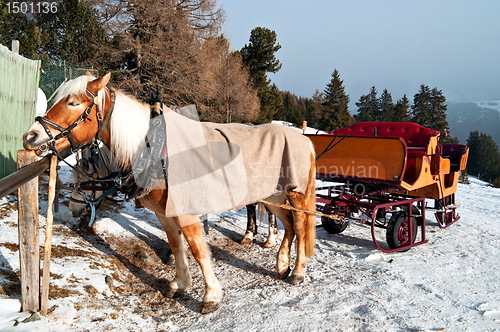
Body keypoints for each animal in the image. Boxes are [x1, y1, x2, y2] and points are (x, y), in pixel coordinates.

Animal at [23, 73, 316, 314]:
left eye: (73, 103)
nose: (30, 136)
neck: (154, 150)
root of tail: (304, 139)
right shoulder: (164, 214)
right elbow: (176, 245)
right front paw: (179, 284)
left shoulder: (186, 212)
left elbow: (197, 249)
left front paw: (211, 295)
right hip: (275, 197)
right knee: (289, 227)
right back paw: (282, 264)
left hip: (297, 196)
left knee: (301, 228)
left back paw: (297, 272)